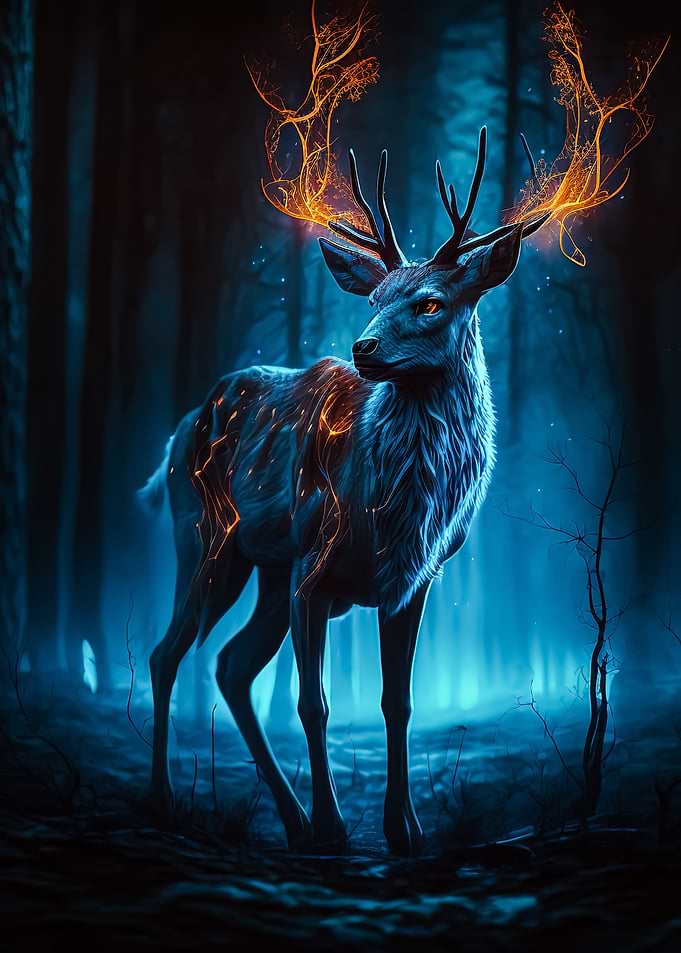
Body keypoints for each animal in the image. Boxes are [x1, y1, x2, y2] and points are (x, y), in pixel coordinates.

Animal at [139, 126, 547, 856]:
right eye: (373, 299)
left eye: (430, 301)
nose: (362, 348)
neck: (393, 508)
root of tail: (179, 431)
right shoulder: (313, 562)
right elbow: (313, 701)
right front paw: (335, 827)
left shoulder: (410, 579)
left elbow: (397, 700)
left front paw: (403, 830)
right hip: (208, 539)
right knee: (170, 654)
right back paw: (168, 800)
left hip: (265, 570)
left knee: (231, 663)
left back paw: (291, 820)